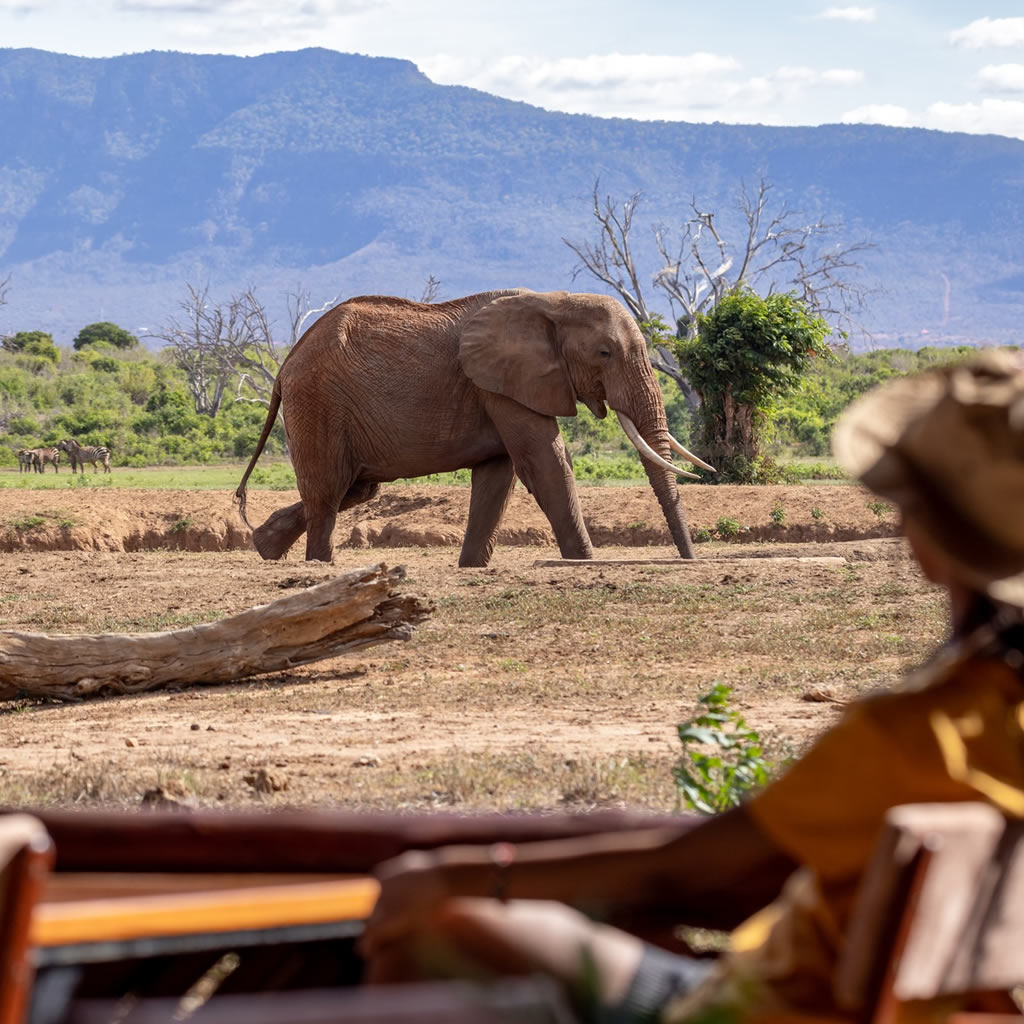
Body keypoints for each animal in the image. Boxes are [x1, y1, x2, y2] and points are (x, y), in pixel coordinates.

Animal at [234, 290, 712, 569]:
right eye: (604, 353)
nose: (687, 562)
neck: (552, 300)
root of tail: (284, 366)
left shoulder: (500, 385)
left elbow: (499, 478)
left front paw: (473, 568)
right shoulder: (501, 384)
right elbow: (545, 463)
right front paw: (584, 563)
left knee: (353, 489)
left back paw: (266, 546)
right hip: (318, 402)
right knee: (329, 491)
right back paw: (320, 566)